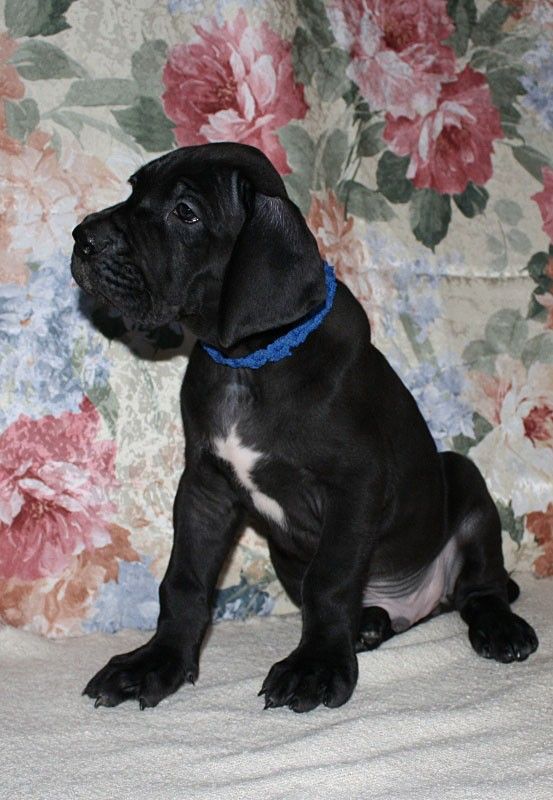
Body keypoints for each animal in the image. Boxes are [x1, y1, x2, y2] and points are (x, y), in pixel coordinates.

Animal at [72, 142, 538, 713]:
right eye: (135, 189)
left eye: (186, 213)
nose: (82, 238)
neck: (249, 363)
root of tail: (421, 602)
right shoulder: (204, 487)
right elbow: (184, 581)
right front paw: (156, 662)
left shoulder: (355, 484)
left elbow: (330, 582)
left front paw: (315, 666)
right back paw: (369, 624)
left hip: (465, 482)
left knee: (482, 587)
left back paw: (499, 628)